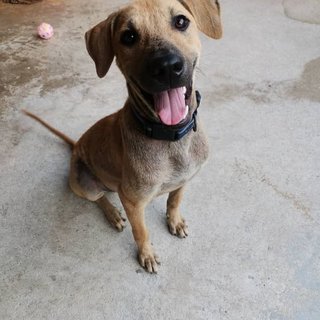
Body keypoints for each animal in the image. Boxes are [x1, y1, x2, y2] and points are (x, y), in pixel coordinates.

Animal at [23, 0, 221, 274]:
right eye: (129, 37)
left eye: (181, 21)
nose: (167, 67)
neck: (170, 138)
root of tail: (76, 146)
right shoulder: (133, 201)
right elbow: (142, 232)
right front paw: (147, 254)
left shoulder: (185, 179)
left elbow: (174, 200)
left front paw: (175, 220)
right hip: (82, 183)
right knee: (98, 198)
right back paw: (113, 214)